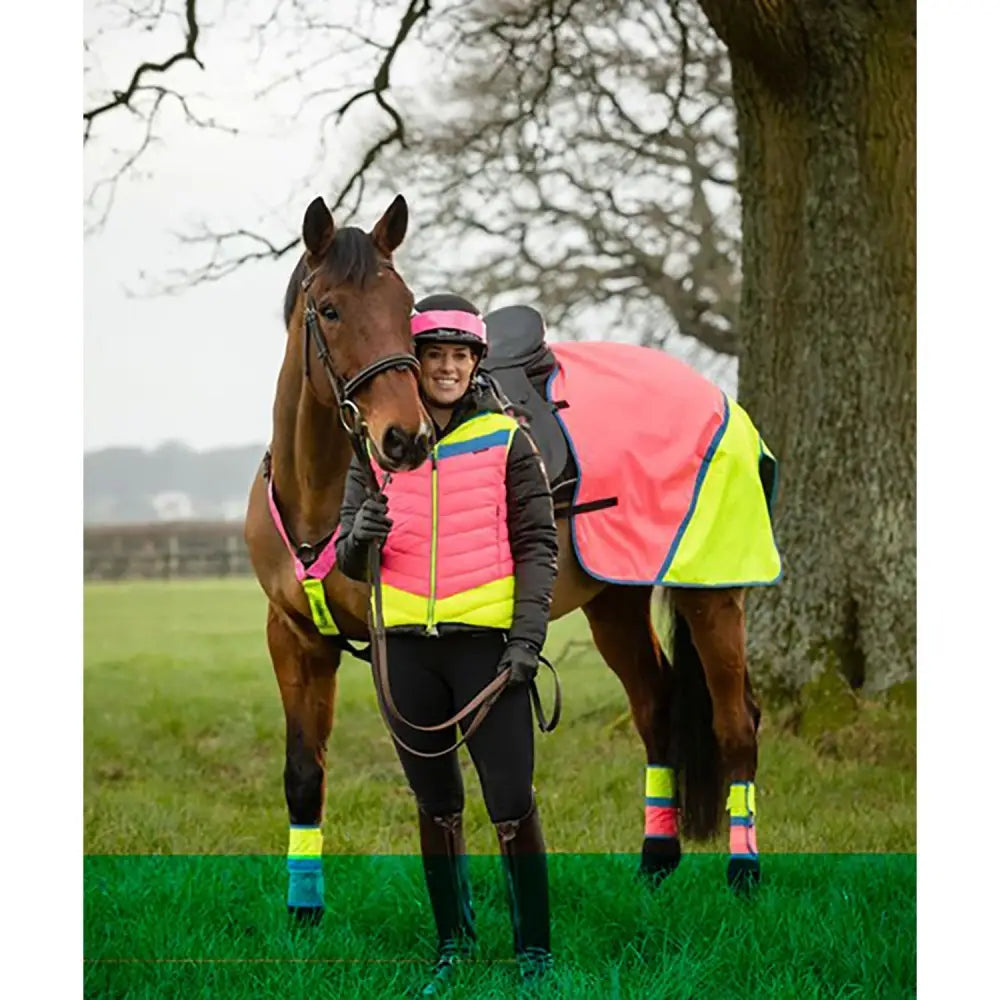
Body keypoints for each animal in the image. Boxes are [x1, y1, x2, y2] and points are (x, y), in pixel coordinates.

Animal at [246, 193, 760, 920]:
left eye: (406, 307)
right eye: (331, 309)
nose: (404, 437)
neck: (316, 496)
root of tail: (717, 399)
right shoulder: (295, 638)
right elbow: (303, 775)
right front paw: (304, 913)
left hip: (713, 596)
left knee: (735, 723)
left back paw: (744, 873)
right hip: (615, 603)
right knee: (657, 709)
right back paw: (655, 863)